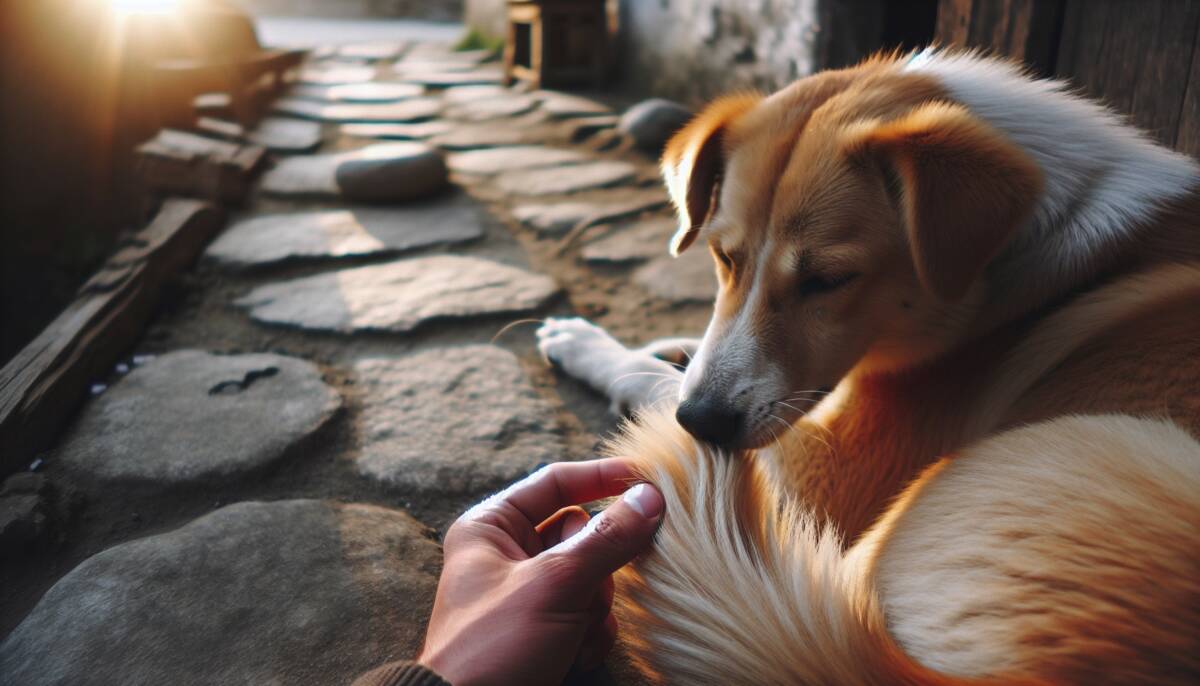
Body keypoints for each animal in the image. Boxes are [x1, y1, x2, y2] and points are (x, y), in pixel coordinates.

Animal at [537, 49, 1200, 686]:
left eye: (828, 280)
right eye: (724, 257)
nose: (701, 421)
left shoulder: (826, 473)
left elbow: (661, 385)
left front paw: (596, 348)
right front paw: (651, 345)